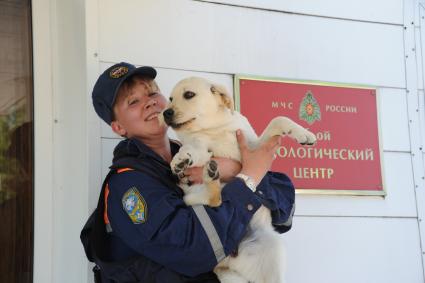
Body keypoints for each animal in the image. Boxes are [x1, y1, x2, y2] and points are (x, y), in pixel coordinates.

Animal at [161, 77, 314, 283]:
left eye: (189, 95)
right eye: (170, 98)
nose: (165, 113)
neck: (214, 129)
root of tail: (226, 262)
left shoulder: (252, 146)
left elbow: (278, 118)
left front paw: (304, 133)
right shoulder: (200, 146)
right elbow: (192, 147)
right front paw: (181, 158)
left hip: (273, 249)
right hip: (191, 196)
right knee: (213, 200)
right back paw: (210, 176)